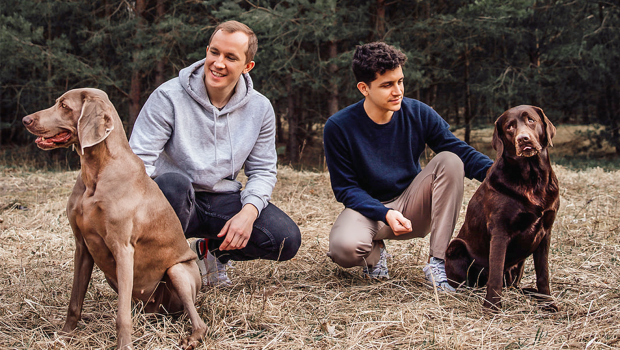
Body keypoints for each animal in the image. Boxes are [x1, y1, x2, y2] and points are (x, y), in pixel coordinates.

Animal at [22, 89, 206, 348]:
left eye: (64, 106)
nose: (25, 120)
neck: (96, 174)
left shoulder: (123, 249)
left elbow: (122, 316)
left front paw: (124, 345)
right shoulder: (82, 247)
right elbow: (74, 301)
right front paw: (65, 336)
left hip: (177, 271)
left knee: (198, 320)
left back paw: (191, 338)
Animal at [444, 104, 560, 312]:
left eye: (531, 120)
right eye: (509, 127)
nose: (523, 139)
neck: (532, 179)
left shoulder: (546, 232)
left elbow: (543, 274)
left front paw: (548, 303)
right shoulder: (500, 230)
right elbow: (496, 274)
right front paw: (492, 307)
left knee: (515, 286)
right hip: (456, 246)